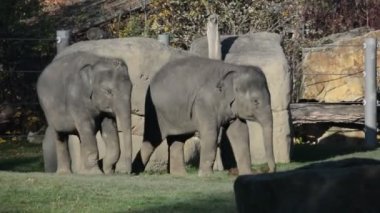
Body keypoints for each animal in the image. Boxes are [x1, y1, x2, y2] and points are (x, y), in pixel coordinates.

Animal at [132, 56, 274, 176]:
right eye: (256, 101)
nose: (268, 170)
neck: (235, 69)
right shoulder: (205, 103)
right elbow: (210, 133)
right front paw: (205, 176)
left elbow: (240, 133)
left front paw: (246, 174)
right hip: (155, 111)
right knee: (153, 138)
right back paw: (135, 172)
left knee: (178, 140)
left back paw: (180, 175)